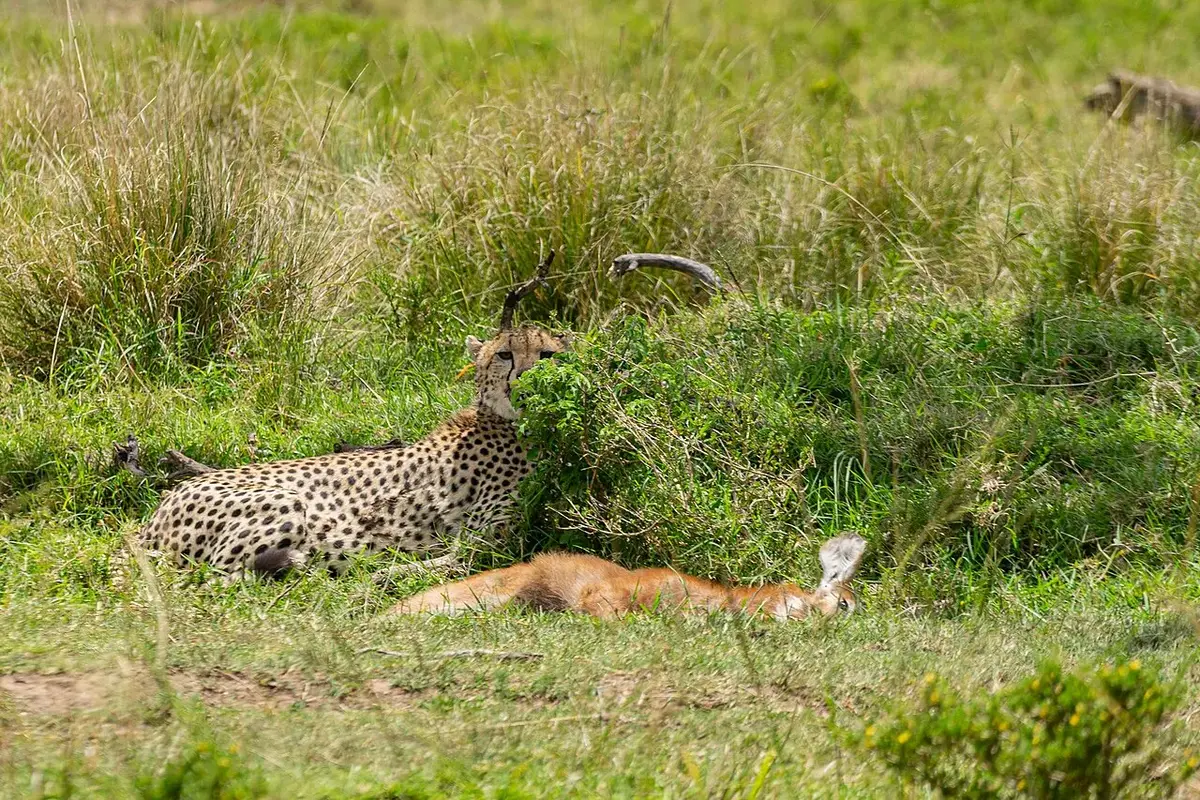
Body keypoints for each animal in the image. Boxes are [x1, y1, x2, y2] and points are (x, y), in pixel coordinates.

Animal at [132, 325, 571, 581]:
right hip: (284, 502)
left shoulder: (495, 537)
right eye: (504, 354)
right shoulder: (488, 539)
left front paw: (385, 572)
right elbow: (449, 562)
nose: (527, 379)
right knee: (215, 574)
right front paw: (381, 573)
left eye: (547, 354)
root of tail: (154, 516)